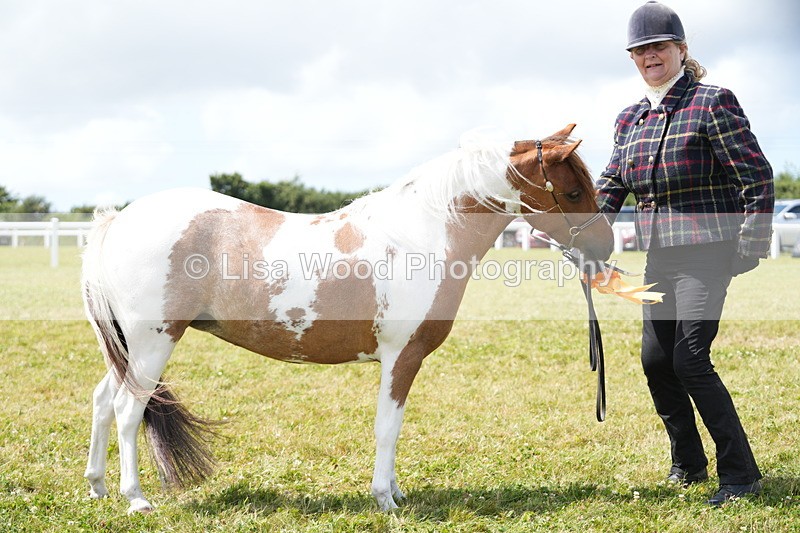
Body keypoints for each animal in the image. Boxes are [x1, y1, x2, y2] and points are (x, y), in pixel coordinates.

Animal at [81, 124, 613, 514]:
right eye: (571, 192)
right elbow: (387, 427)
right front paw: (385, 500)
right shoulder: (402, 357)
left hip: (128, 349)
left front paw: (395, 492)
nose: (604, 247)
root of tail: (117, 220)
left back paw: (98, 486)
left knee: (104, 402)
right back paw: (135, 499)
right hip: (153, 342)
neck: (421, 236)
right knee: (128, 410)